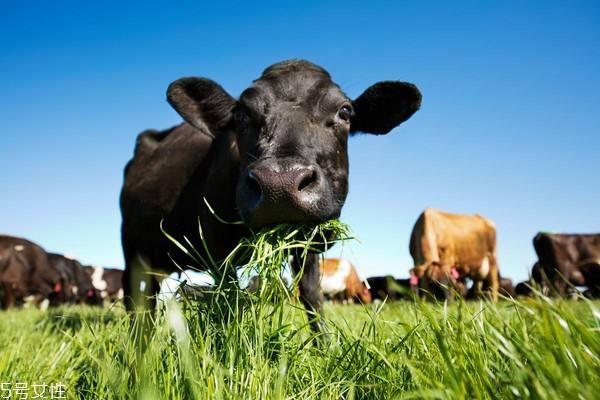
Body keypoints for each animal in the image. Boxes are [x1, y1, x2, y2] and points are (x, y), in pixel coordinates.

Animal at [120, 57, 422, 330]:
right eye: (241, 114)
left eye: (345, 111)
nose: (280, 183)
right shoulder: (215, 245)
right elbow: (229, 298)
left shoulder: (306, 245)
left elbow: (312, 297)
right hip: (132, 249)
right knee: (136, 300)